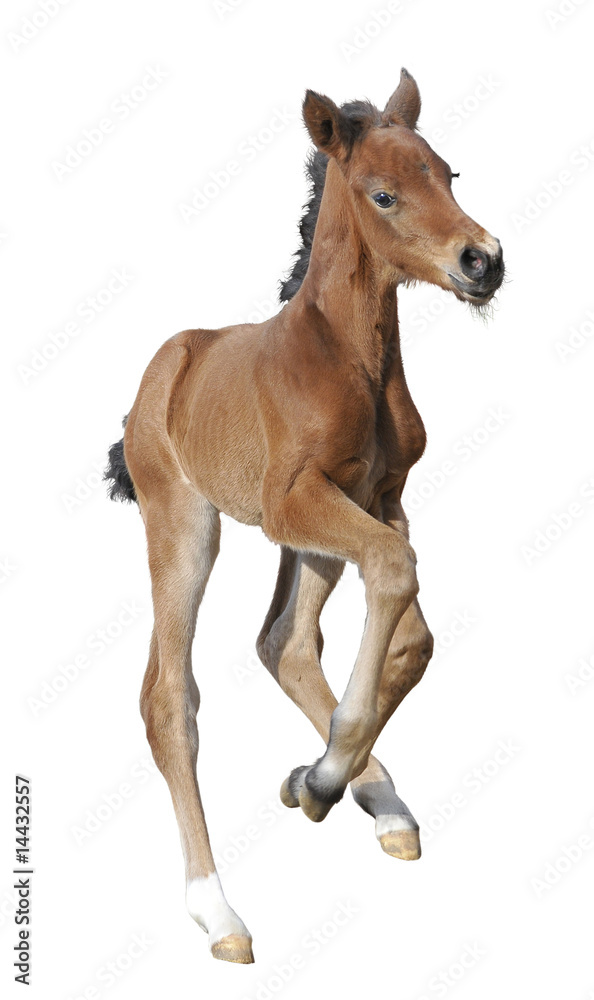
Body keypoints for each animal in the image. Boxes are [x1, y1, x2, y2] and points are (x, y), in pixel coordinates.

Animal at [105, 69, 504, 964]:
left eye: (449, 174)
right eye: (383, 193)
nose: (484, 261)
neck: (350, 356)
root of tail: (165, 365)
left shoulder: (380, 498)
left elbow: (413, 636)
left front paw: (318, 778)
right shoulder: (297, 499)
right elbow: (394, 572)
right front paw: (321, 775)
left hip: (311, 540)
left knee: (282, 641)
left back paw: (367, 797)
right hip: (188, 524)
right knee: (169, 697)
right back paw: (218, 911)